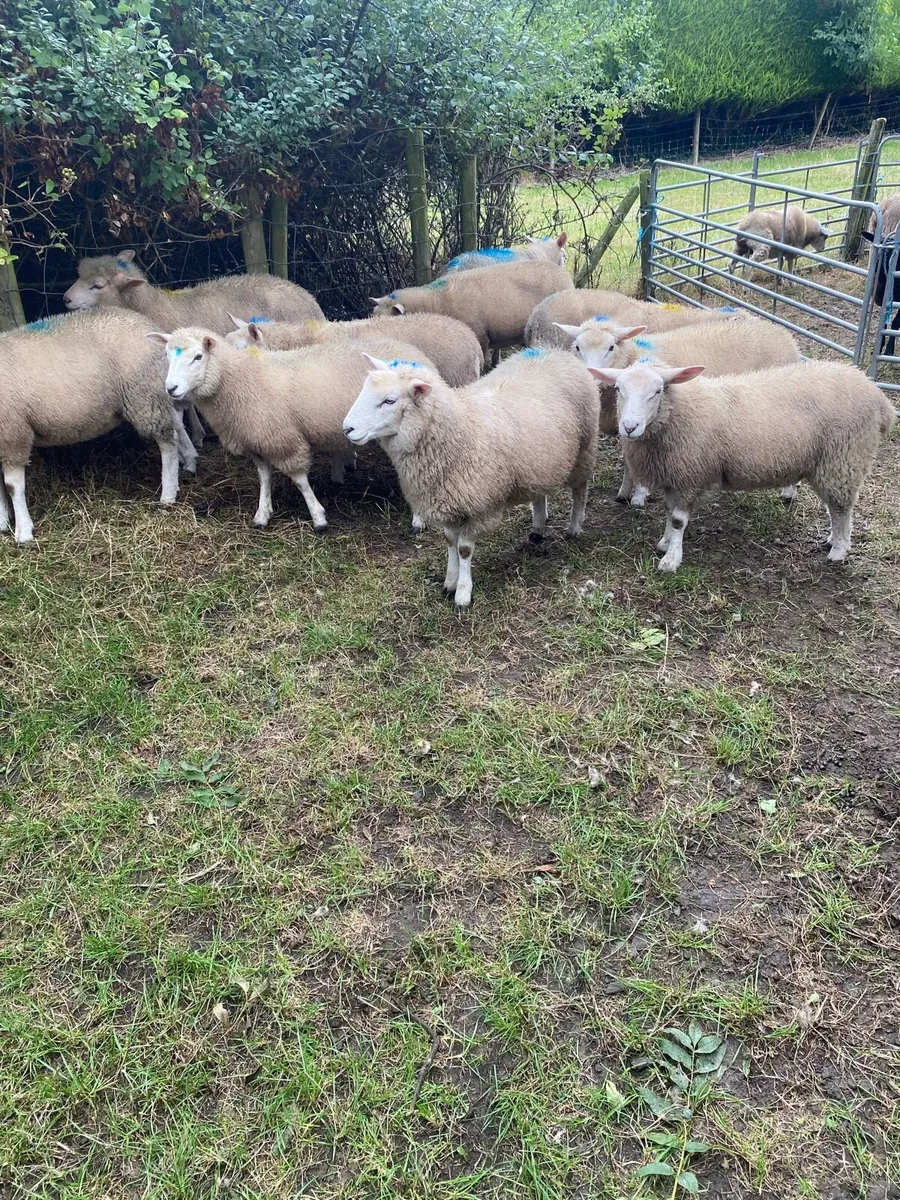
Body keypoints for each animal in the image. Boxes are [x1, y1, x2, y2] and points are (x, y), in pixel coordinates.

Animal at [0, 309, 181, 544]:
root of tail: (148, 324)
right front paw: (2, 522)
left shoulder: (13, 434)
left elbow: (13, 487)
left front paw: (23, 531)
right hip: (157, 394)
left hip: (146, 397)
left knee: (169, 444)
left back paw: (168, 495)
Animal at [151, 328, 436, 533]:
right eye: (167, 356)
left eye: (198, 357)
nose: (171, 388)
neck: (239, 380)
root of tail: (416, 355)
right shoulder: (258, 439)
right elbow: (264, 477)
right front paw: (262, 514)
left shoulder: (283, 438)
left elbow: (299, 481)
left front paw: (318, 518)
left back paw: (418, 520)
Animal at [341, 347, 600, 609]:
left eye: (390, 400)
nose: (347, 429)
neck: (459, 430)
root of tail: (554, 351)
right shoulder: (447, 502)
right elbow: (449, 541)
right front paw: (450, 582)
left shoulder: (478, 506)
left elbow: (464, 549)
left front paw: (463, 594)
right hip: (539, 463)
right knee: (539, 494)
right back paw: (537, 530)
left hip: (585, 448)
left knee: (580, 490)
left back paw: (574, 527)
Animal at [558, 316, 802, 506]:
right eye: (577, 347)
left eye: (611, 347)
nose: (592, 378)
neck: (634, 355)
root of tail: (782, 333)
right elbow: (629, 459)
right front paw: (624, 492)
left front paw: (639, 495)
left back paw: (788, 492)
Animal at [588, 358, 895, 573]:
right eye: (618, 389)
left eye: (658, 390)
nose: (629, 427)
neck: (678, 414)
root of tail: (879, 398)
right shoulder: (675, 476)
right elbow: (668, 513)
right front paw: (665, 543)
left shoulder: (690, 475)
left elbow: (678, 520)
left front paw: (671, 560)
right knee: (836, 508)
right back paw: (832, 540)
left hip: (843, 459)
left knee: (841, 508)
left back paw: (838, 551)